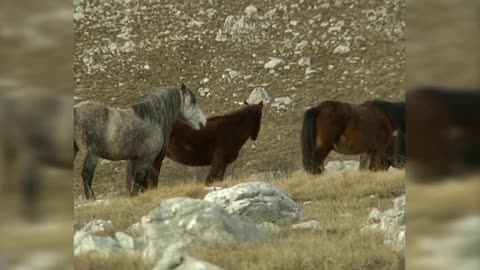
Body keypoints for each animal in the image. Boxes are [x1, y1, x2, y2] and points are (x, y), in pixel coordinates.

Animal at [74, 83, 205, 199]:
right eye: (193, 102)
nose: (203, 122)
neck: (153, 119)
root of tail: (76, 110)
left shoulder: (134, 159)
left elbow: (135, 180)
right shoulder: (146, 158)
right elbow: (139, 179)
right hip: (92, 154)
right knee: (87, 175)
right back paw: (92, 199)